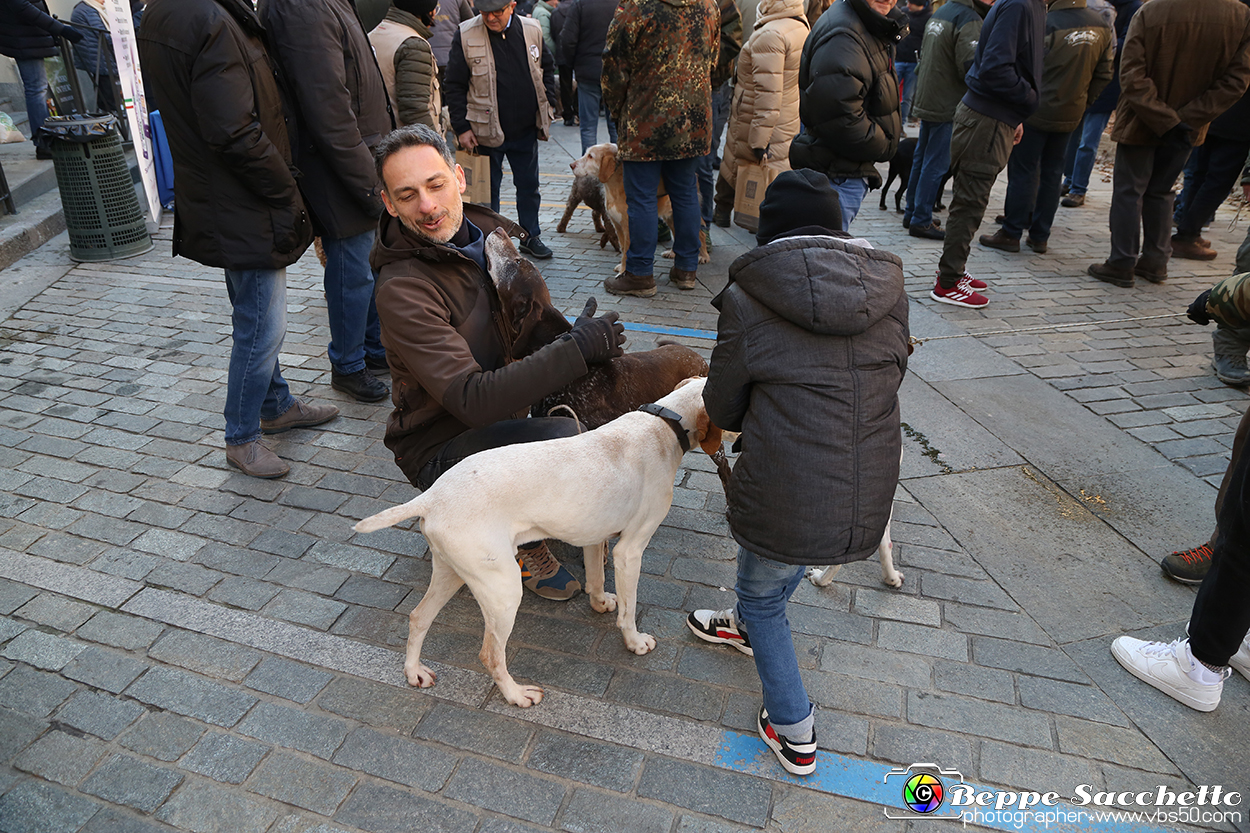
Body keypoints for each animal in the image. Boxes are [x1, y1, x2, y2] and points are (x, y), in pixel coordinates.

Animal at [352, 380, 725, 705]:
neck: (665, 422)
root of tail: (431, 497)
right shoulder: (629, 550)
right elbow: (630, 611)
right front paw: (634, 642)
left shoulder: (594, 536)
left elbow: (595, 579)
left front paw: (601, 602)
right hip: (503, 591)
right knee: (490, 654)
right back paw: (516, 695)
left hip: (452, 573)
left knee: (418, 617)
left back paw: (413, 671)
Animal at [572, 141, 710, 273]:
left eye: (591, 156)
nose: (571, 165)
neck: (615, 186)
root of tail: (695, 175)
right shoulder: (617, 225)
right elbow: (623, 248)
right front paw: (622, 268)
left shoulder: (628, 227)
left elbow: (627, 251)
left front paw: (624, 272)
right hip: (672, 216)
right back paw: (672, 253)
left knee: (700, 234)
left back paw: (703, 256)